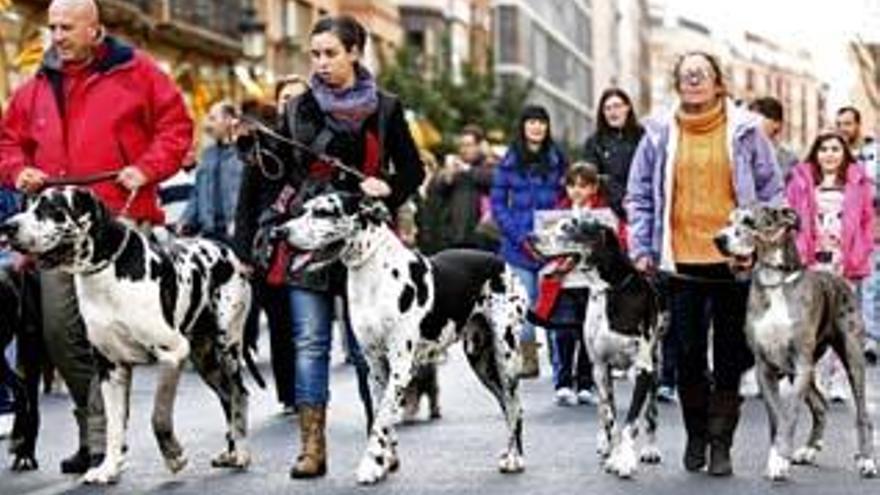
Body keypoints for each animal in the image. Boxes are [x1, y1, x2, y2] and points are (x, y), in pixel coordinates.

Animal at [1, 187, 258, 484]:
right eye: (28, 204)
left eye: (50, 207)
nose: (8, 226)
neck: (105, 274)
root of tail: (224, 248)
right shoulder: (110, 368)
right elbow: (113, 425)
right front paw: (107, 468)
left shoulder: (172, 352)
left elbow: (159, 416)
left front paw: (174, 456)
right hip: (206, 362)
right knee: (227, 397)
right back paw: (232, 451)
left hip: (227, 347)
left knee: (239, 394)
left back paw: (242, 453)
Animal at [276, 193, 528, 484]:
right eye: (303, 209)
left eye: (322, 212)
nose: (280, 232)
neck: (373, 276)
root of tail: (501, 262)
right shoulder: (375, 365)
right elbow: (381, 414)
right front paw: (385, 461)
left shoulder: (401, 365)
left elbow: (383, 415)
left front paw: (370, 464)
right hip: (482, 362)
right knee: (506, 405)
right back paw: (511, 453)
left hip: (506, 357)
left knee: (515, 405)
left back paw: (515, 458)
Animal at [524, 212, 664, 480]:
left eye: (568, 227)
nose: (529, 237)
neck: (608, 290)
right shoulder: (599, 367)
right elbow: (610, 417)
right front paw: (612, 453)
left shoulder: (643, 370)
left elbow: (632, 420)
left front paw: (625, 459)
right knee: (602, 409)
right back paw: (604, 443)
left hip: (656, 365)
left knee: (651, 410)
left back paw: (650, 448)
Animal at [716, 204, 872, 480]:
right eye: (728, 221)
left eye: (749, 222)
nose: (718, 239)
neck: (774, 283)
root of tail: (838, 279)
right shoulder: (765, 369)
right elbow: (777, 418)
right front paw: (777, 458)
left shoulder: (800, 364)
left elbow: (790, 416)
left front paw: (780, 461)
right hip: (801, 371)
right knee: (820, 405)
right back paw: (809, 450)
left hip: (851, 359)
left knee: (862, 414)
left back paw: (866, 460)